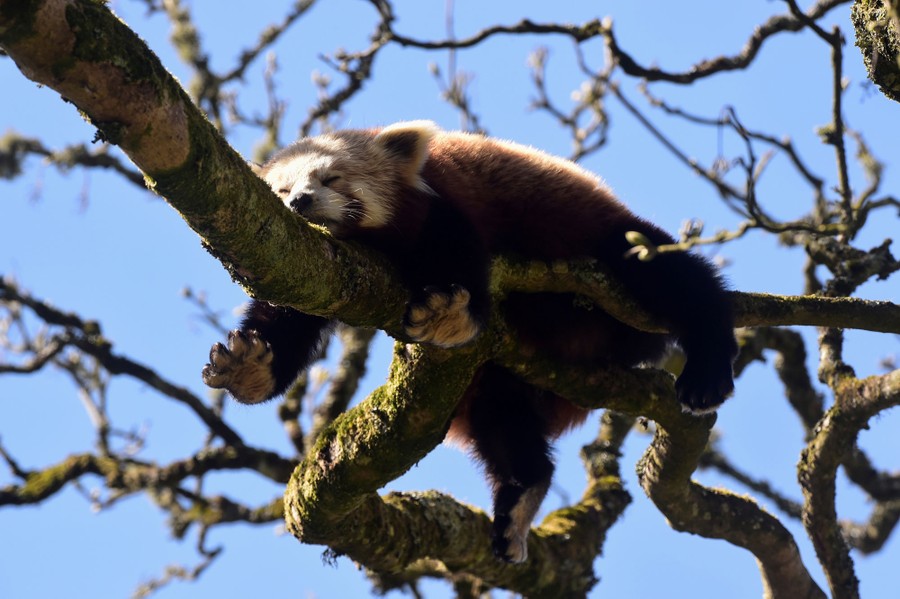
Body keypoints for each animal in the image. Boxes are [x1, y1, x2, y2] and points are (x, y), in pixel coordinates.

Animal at [202, 121, 737, 563]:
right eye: (282, 188)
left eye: (331, 179)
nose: (300, 202)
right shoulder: (308, 261)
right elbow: (288, 313)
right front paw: (251, 365)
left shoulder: (445, 204)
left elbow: (456, 253)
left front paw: (448, 311)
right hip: (502, 377)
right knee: (503, 422)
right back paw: (521, 496)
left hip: (608, 248)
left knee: (673, 278)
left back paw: (707, 368)